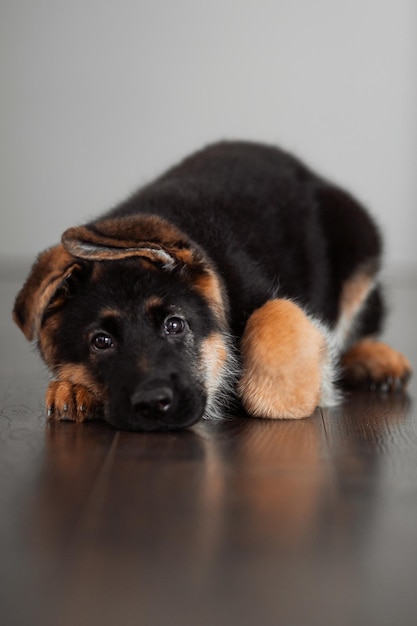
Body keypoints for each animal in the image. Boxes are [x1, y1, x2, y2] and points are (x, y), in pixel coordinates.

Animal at [12, 141, 410, 428]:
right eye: (101, 341)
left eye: (175, 325)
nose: (153, 404)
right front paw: (73, 386)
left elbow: (276, 325)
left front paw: (312, 387)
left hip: (357, 240)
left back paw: (375, 360)